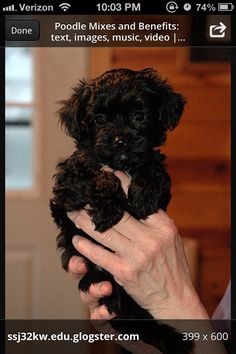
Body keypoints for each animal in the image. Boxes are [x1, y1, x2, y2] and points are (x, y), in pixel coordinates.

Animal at [50, 68, 193, 352]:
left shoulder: (156, 175)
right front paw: (108, 204)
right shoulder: (65, 192)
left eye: (139, 115)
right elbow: (91, 173)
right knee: (132, 323)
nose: (120, 140)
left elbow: (154, 169)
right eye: (99, 119)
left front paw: (144, 192)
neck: (121, 164)